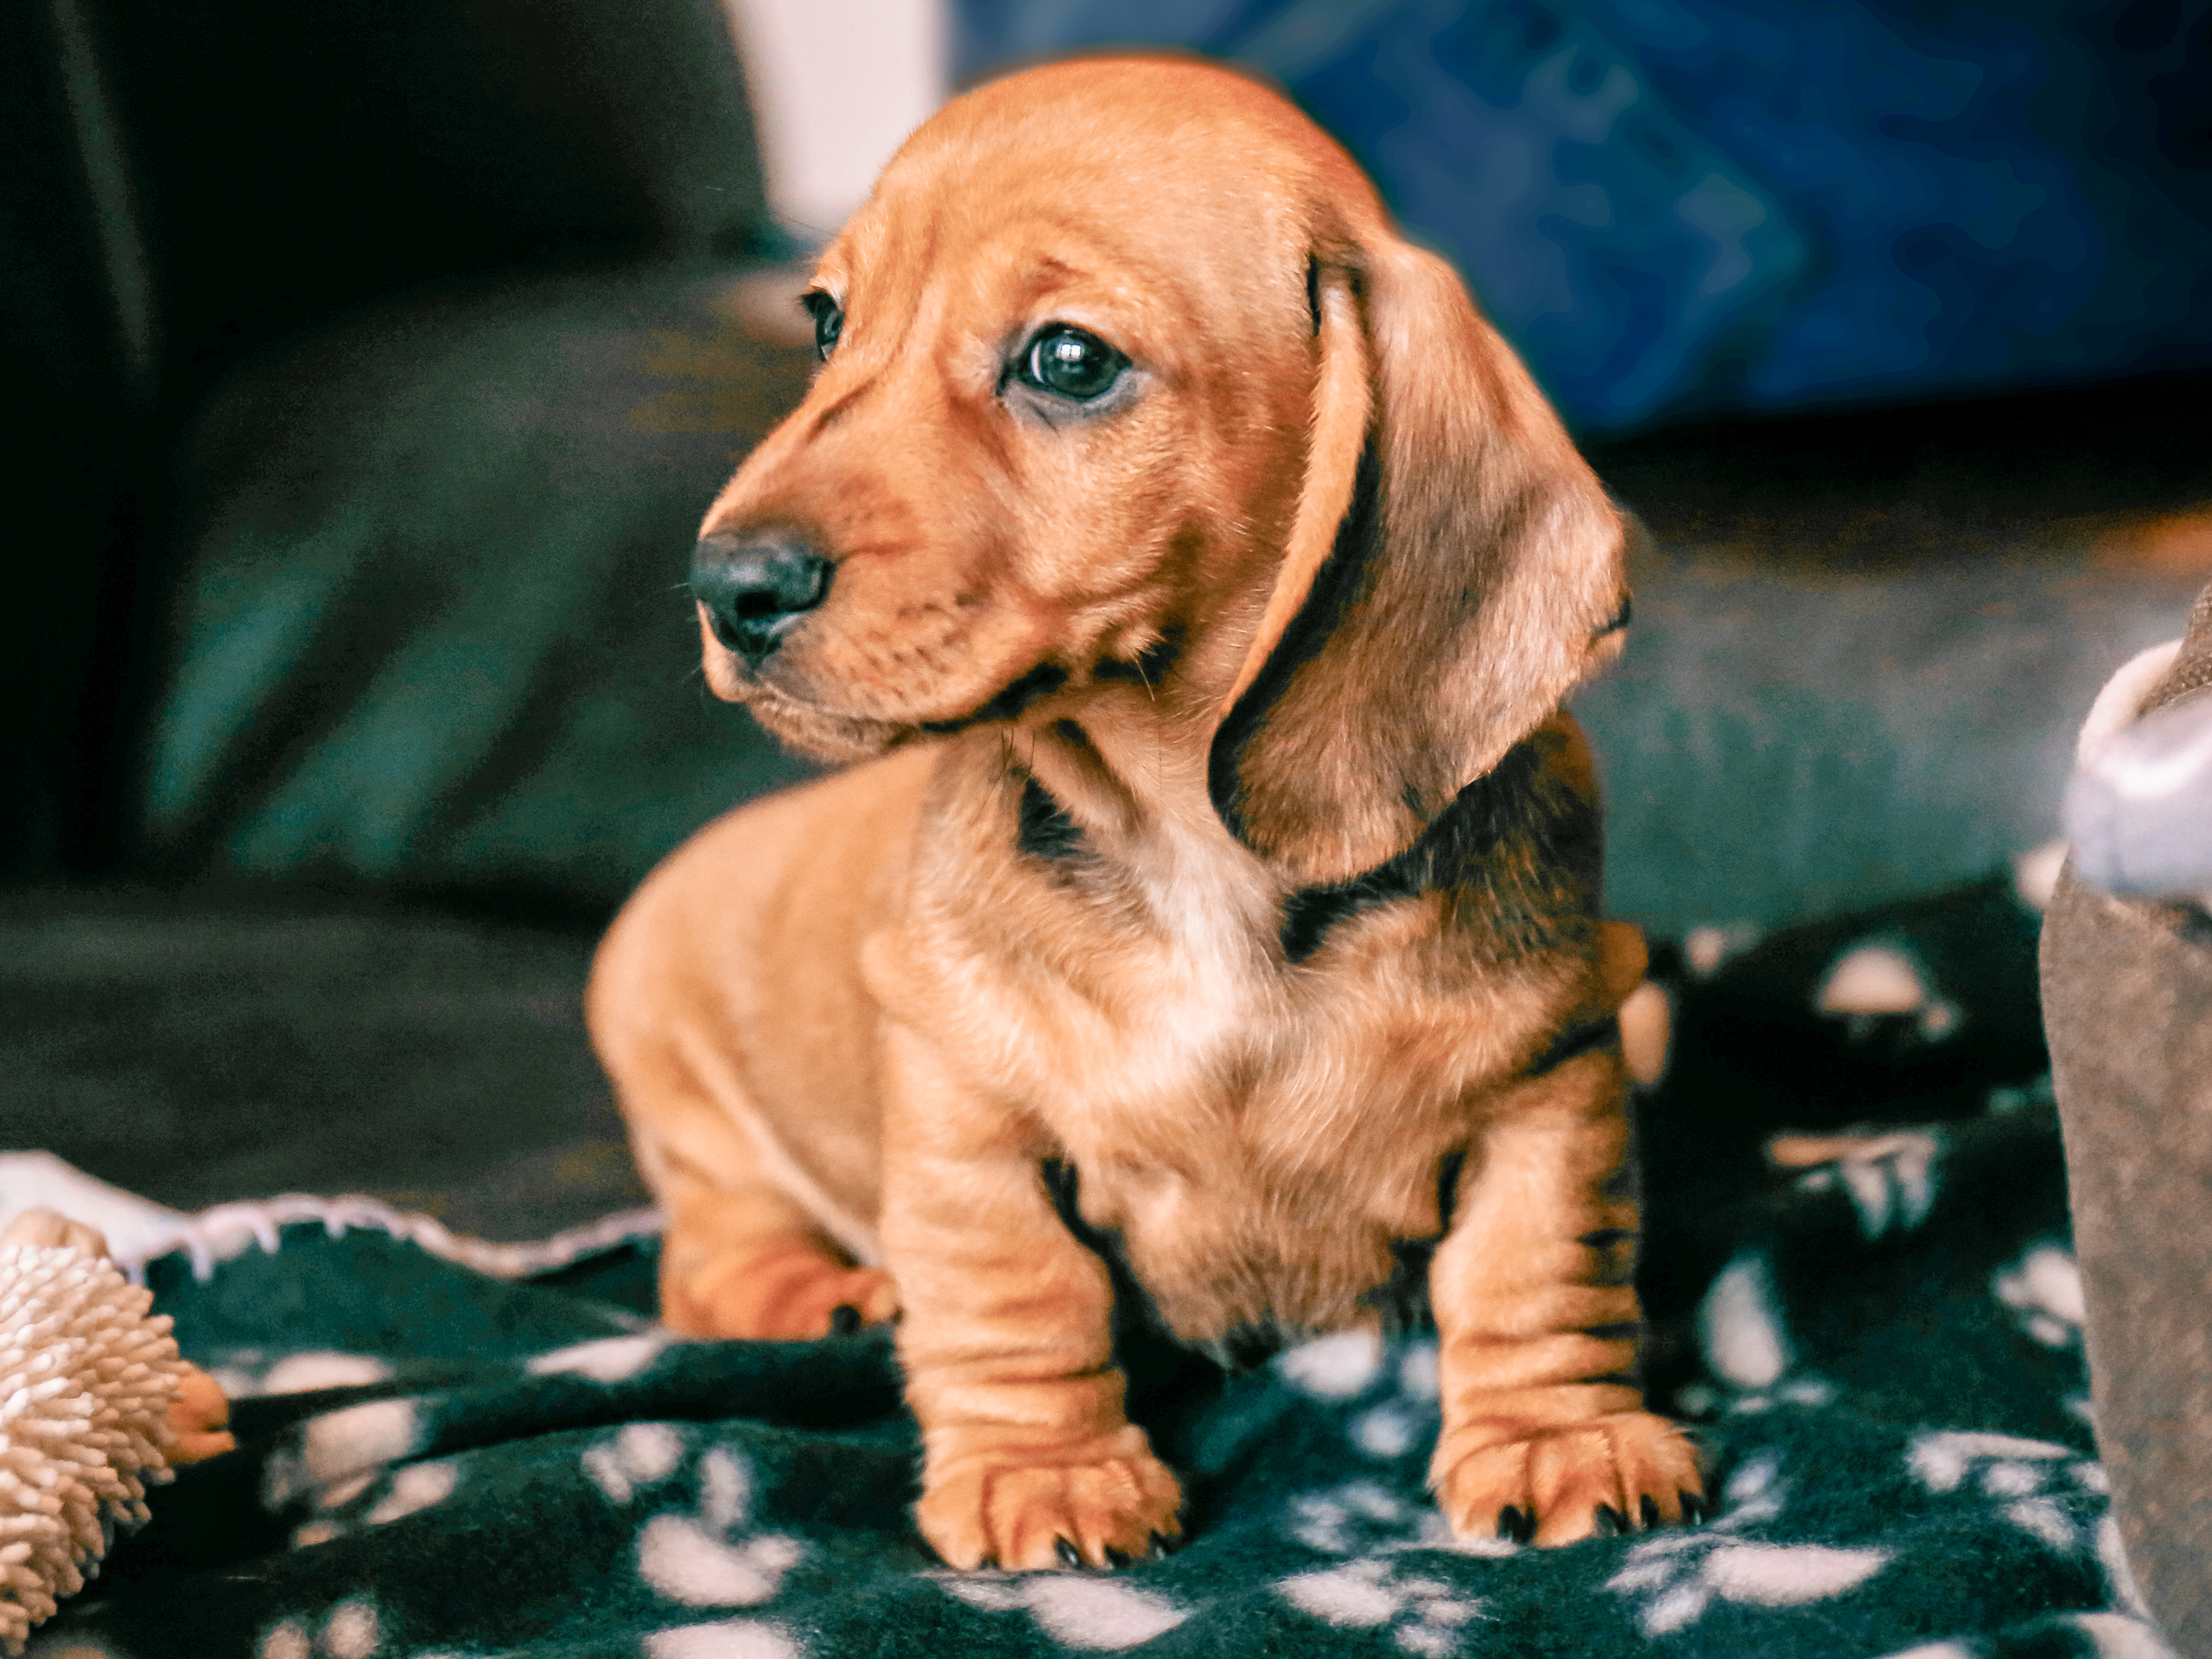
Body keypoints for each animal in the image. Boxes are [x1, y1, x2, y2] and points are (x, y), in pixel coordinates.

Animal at [584, 55, 1690, 1575]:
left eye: (1066, 360)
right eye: (824, 323)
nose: (725, 585)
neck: (1187, 845)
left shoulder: (1554, 1073)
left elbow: (1537, 1270)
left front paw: (1554, 1433)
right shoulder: (964, 1110)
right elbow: (1016, 1293)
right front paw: (1042, 1472)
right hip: (698, 1116)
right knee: (706, 1263)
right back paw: (823, 1296)